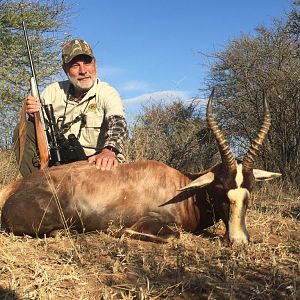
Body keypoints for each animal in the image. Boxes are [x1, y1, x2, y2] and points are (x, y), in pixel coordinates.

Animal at [0, 95, 282, 245]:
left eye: (250, 188)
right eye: (221, 187)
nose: (239, 240)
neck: (181, 188)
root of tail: (13, 189)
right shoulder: (151, 222)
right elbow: (171, 236)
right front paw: (117, 231)